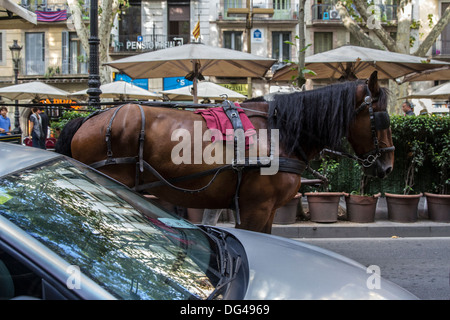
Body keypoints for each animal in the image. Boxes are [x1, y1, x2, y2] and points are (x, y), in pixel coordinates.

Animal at [56, 72, 394, 232]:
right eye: (381, 118)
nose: (388, 165)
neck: (281, 132)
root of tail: (88, 118)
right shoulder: (256, 207)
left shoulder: (267, 210)